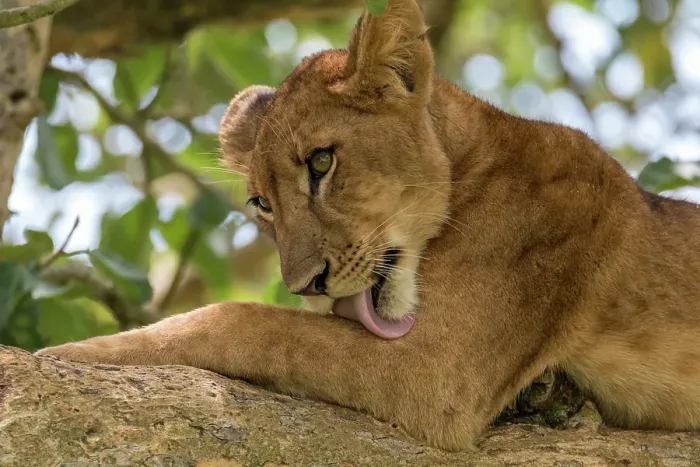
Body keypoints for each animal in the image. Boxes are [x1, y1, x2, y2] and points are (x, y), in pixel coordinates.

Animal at [36, 0, 700, 451]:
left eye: (321, 163)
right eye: (262, 203)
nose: (306, 285)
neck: (471, 163)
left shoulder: (440, 374)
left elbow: (242, 321)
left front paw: (71, 353)